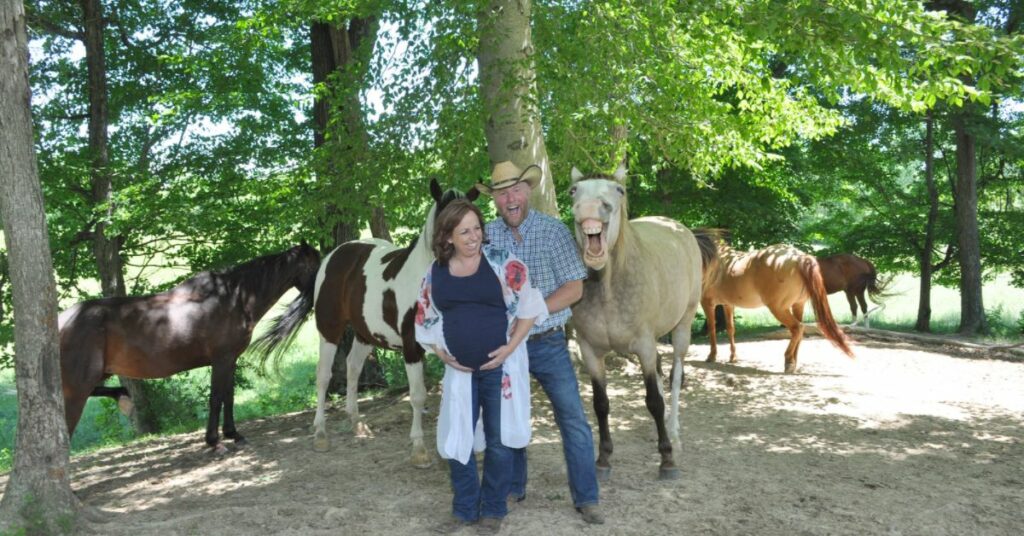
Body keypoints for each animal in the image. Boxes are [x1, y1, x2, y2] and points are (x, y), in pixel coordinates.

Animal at [58, 241, 319, 448]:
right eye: (317, 264)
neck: (233, 298)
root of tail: (63, 320)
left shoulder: (231, 360)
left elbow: (228, 396)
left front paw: (233, 434)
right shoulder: (221, 359)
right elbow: (216, 398)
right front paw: (213, 440)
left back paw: (123, 397)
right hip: (77, 387)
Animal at [256, 179, 479, 465]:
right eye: (446, 219)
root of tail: (333, 256)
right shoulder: (411, 348)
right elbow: (418, 396)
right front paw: (419, 449)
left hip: (365, 333)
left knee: (353, 367)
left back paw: (356, 422)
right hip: (329, 330)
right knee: (323, 375)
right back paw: (320, 433)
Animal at [565, 163, 716, 481]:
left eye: (619, 190)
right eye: (574, 191)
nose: (589, 208)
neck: (608, 287)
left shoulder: (644, 346)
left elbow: (654, 401)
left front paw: (667, 459)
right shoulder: (590, 351)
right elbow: (600, 404)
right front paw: (603, 458)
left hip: (682, 327)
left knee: (675, 375)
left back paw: (673, 432)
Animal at [704, 240, 856, 375]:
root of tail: (799, 257)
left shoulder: (707, 303)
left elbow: (712, 328)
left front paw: (712, 356)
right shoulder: (728, 304)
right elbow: (730, 329)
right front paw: (733, 357)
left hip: (778, 308)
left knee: (797, 328)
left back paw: (788, 361)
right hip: (797, 305)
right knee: (799, 331)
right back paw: (794, 362)